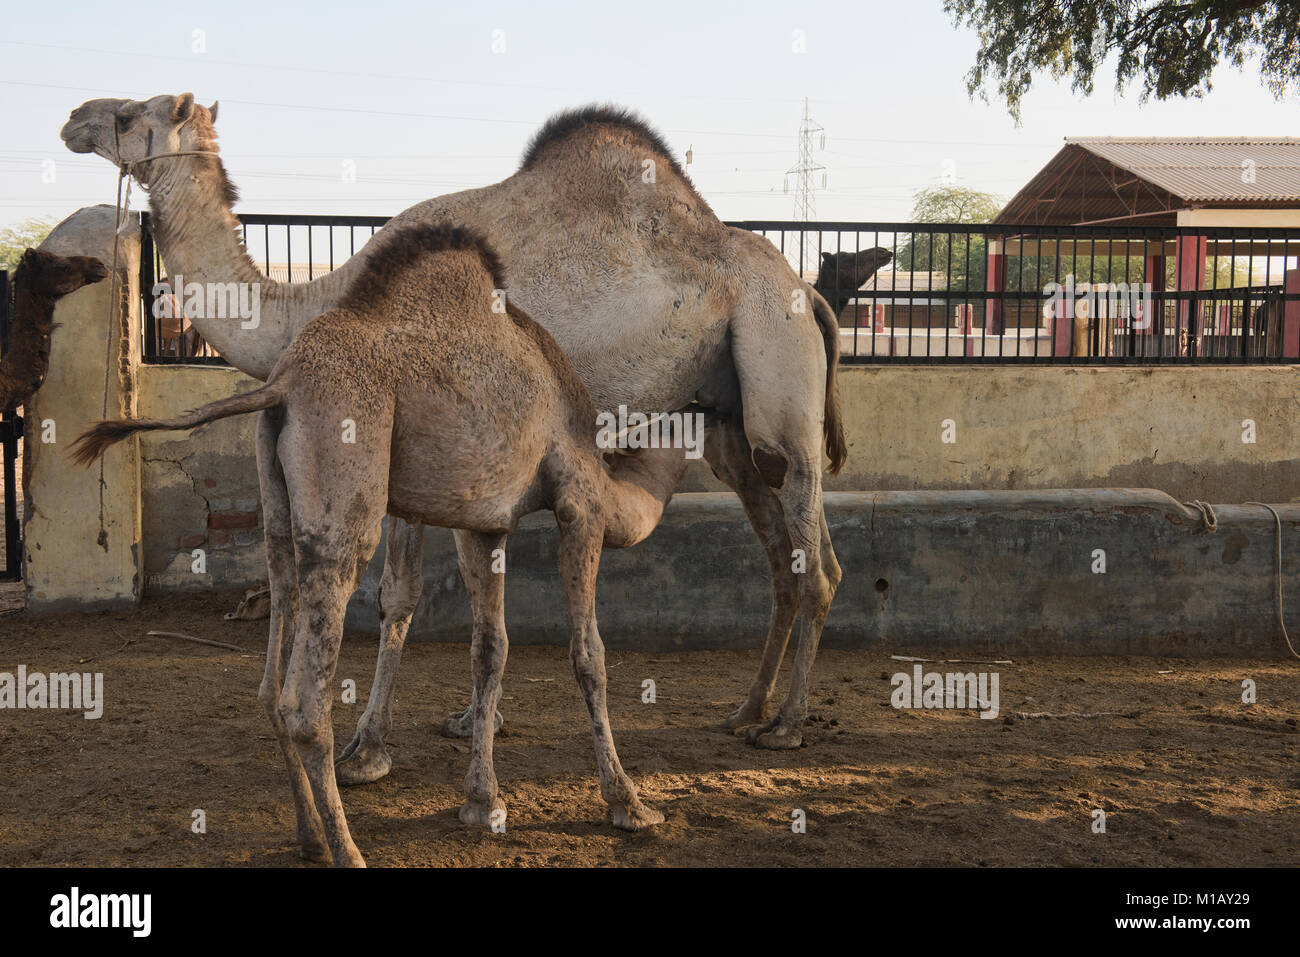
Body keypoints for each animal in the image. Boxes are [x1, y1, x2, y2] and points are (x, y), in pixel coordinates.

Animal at [61, 94, 845, 778]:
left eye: (129, 112)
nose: (72, 118)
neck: (318, 298)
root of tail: (808, 291)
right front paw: (472, 722)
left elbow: (398, 596)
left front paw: (369, 749)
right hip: (729, 423)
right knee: (781, 557)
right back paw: (746, 710)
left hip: (780, 380)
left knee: (818, 556)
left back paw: (787, 725)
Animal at [73, 223, 689, 866]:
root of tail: (283, 385)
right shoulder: (580, 506)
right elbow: (588, 653)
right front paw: (629, 802)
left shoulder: (484, 523)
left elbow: (489, 648)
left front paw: (482, 799)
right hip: (350, 484)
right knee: (305, 701)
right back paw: (347, 848)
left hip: (277, 506)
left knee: (271, 676)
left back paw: (311, 838)